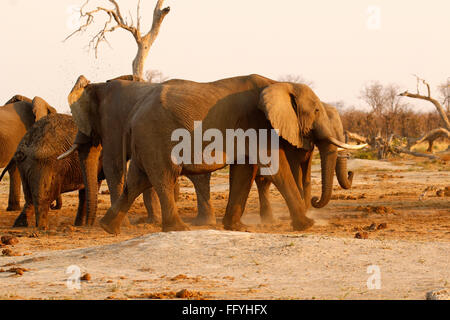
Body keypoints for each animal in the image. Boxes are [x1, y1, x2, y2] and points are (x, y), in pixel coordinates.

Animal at [57, 74, 214, 226]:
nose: (87, 225)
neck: (99, 86)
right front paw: (150, 221)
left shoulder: (112, 121)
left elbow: (113, 165)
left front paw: (126, 224)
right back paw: (202, 222)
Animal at [96, 74, 366, 234]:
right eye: (317, 110)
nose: (315, 201)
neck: (278, 83)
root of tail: (134, 114)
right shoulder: (258, 124)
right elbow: (276, 167)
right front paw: (307, 226)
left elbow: (244, 171)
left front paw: (236, 226)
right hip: (156, 136)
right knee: (164, 177)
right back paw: (178, 229)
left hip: (146, 141)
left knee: (137, 181)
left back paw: (109, 228)